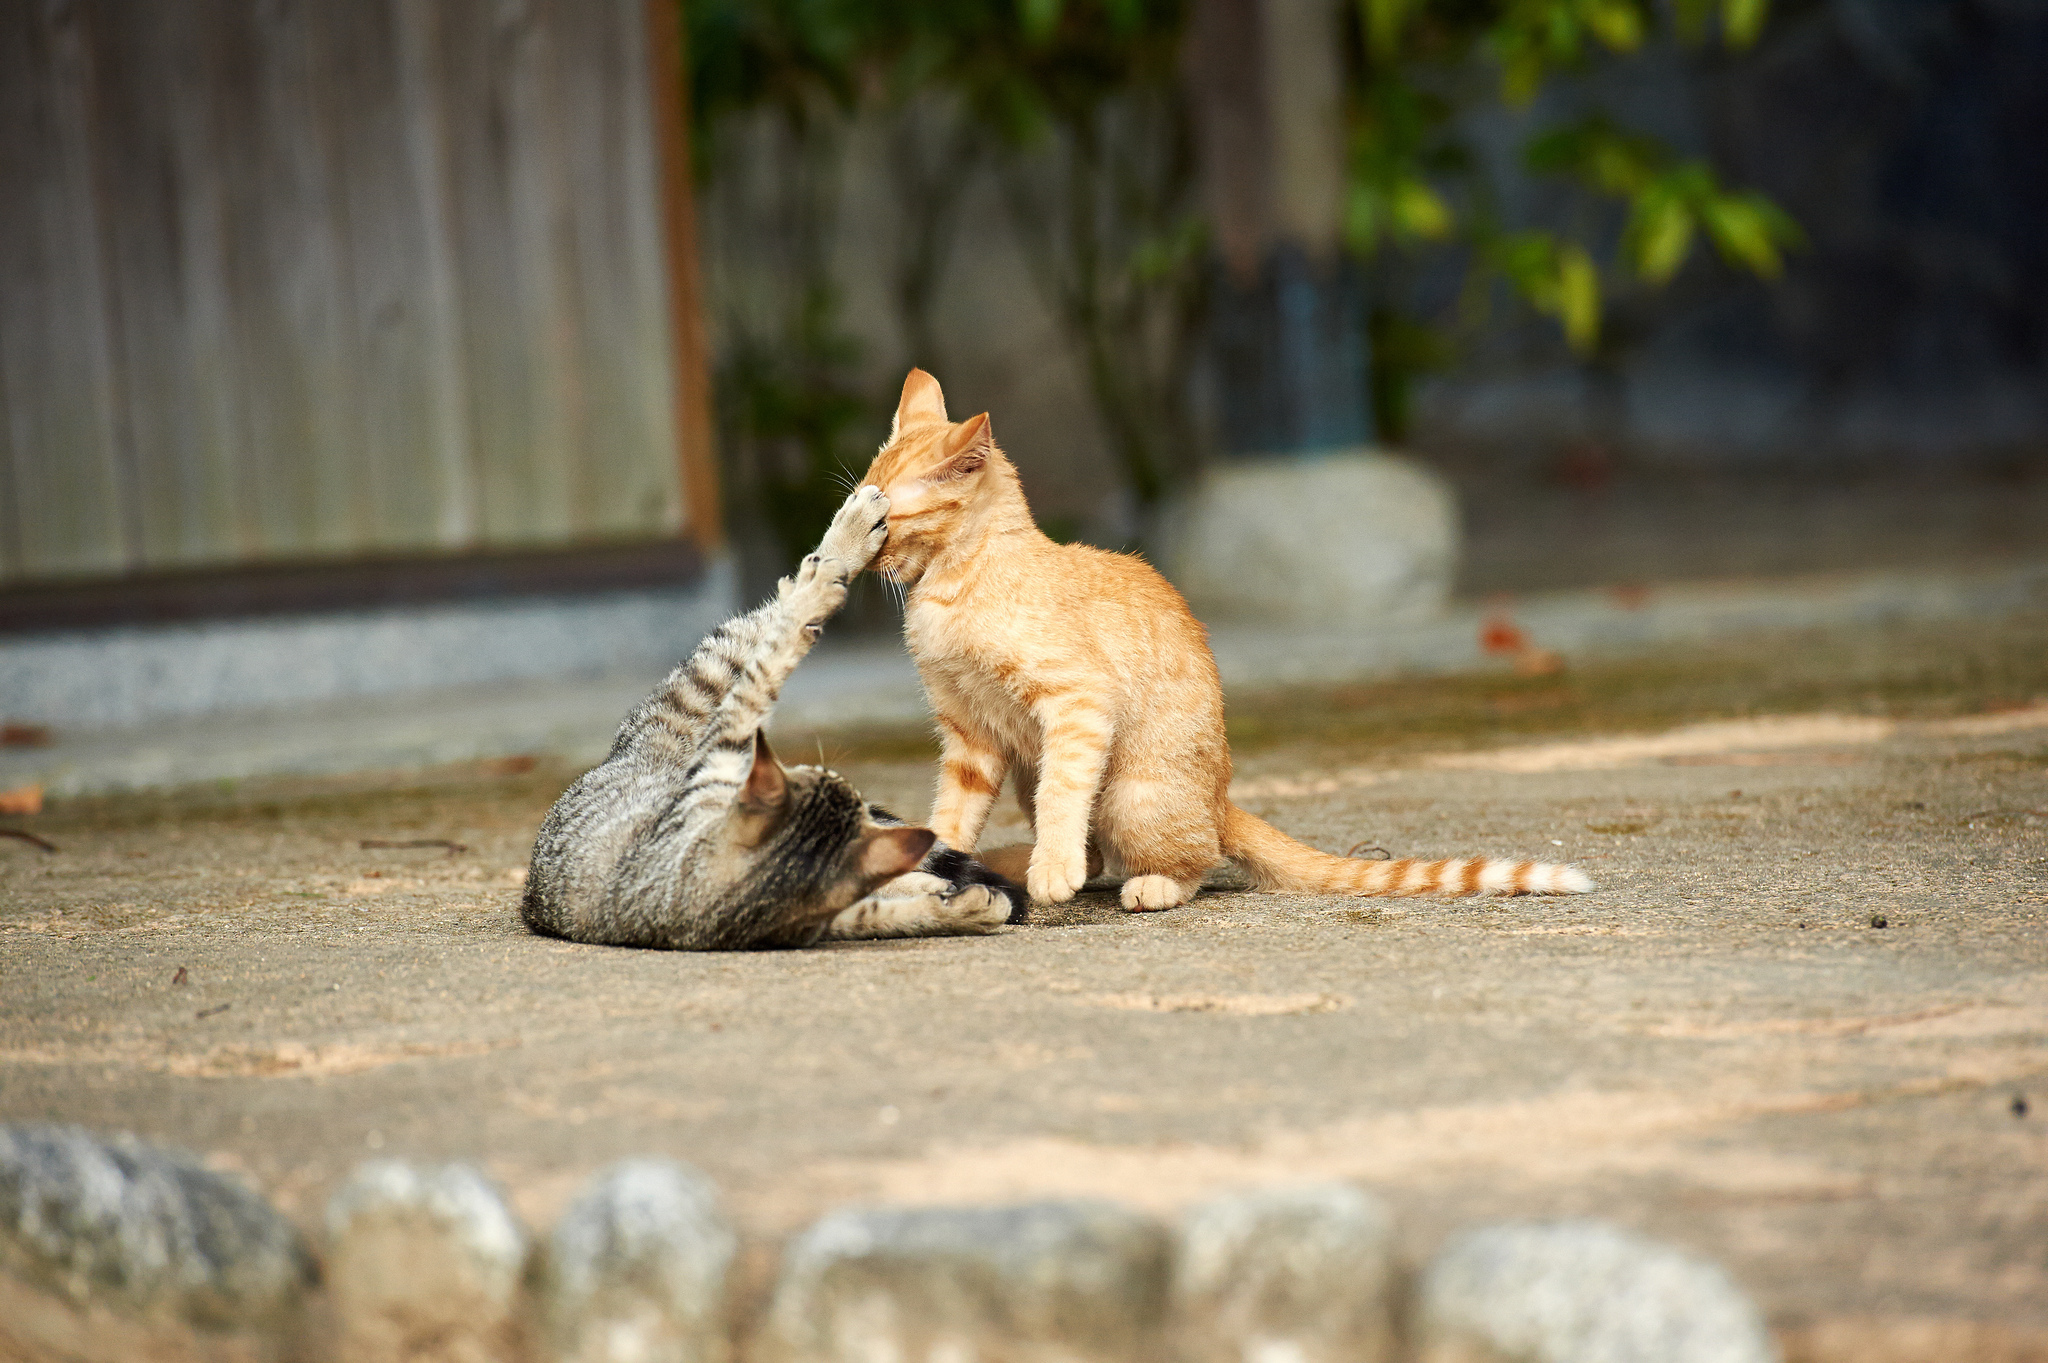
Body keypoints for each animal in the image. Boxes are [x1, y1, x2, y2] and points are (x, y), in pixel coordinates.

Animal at [516, 485, 1019, 945]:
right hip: (705, 682)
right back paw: (834, 554)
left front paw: (960, 905)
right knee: (766, 627)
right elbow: (772, 658)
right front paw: (952, 902)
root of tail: (615, 754)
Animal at [856, 366, 1589, 908]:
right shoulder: (970, 738)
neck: (957, 583)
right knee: (1102, 851)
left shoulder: (1079, 703)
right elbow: (949, 818)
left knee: (1192, 857)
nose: (865, 559)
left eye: (884, 518)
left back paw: (1145, 882)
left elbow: (1064, 794)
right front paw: (933, 867)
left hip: (1132, 793)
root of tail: (1221, 798)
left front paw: (1051, 869)